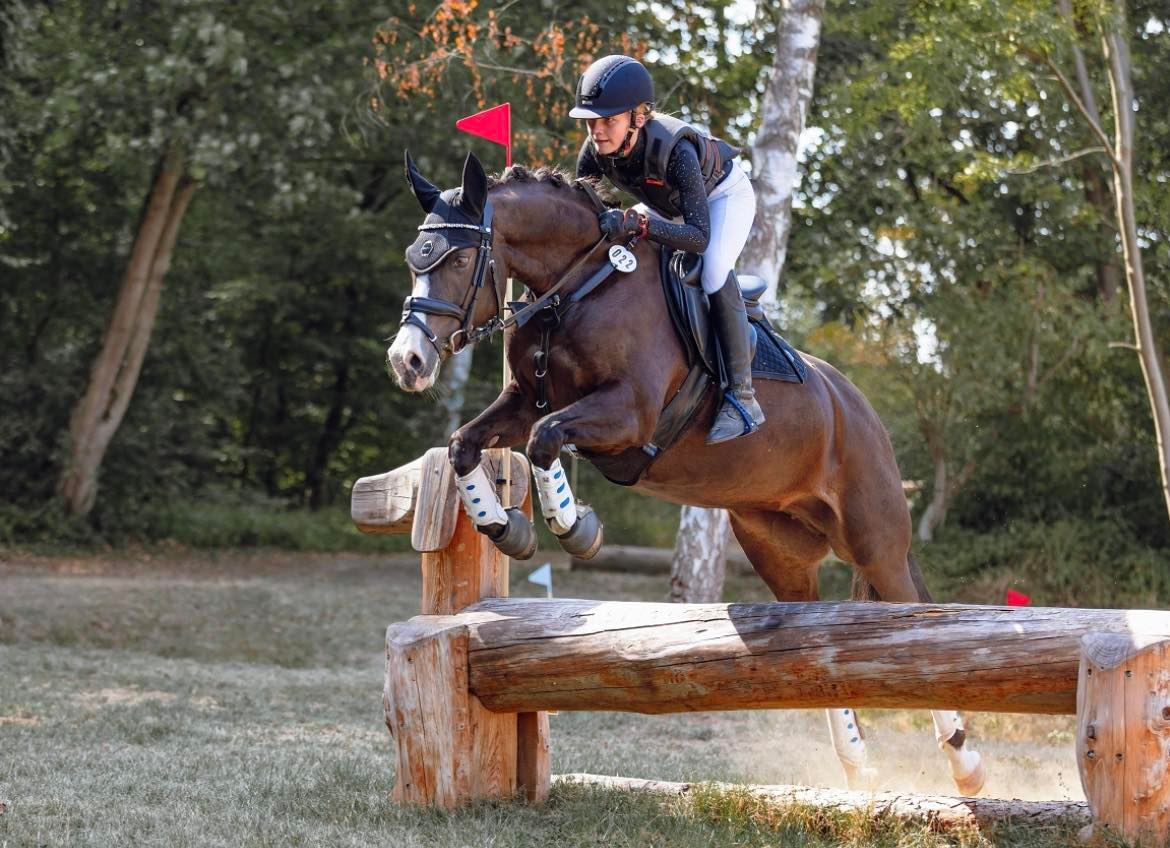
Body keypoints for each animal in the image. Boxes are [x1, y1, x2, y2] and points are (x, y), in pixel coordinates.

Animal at [386, 150, 987, 795]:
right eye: (414, 259)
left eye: (461, 259)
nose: (407, 360)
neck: (576, 289)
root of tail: (859, 406)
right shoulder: (524, 402)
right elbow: (464, 445)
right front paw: (507, 529)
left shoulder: (628, 412)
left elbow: (547, 441)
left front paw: (576, 528)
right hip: (777, 547)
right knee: (812, 635)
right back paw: (856, 762)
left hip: (874, 539)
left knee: (911, 611)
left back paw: (966, 764)